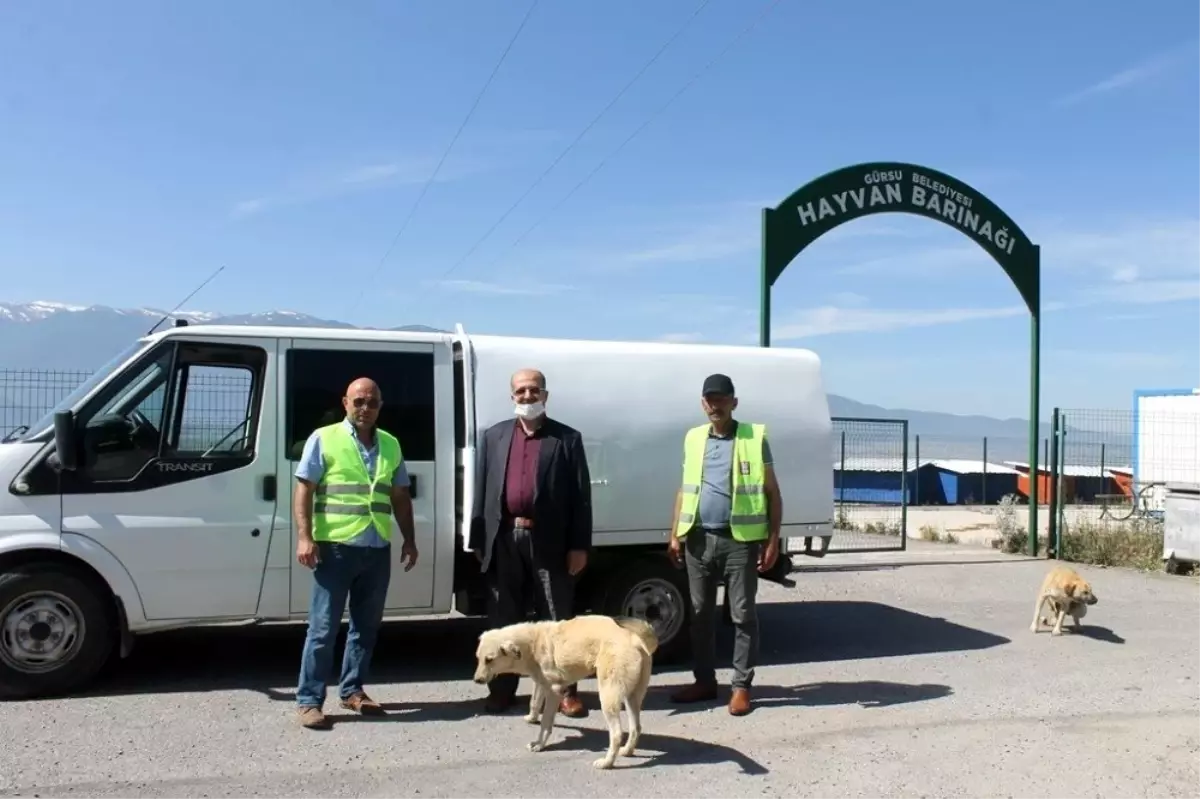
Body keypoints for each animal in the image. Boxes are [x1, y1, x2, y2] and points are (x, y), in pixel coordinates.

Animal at [472, 609, 657, 767]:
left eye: (489, 659)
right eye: (478, 658)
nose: (477, 680)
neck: (532, 643)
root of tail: (635, 639)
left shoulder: (554, 691)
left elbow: (546, 722)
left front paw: (540, 744)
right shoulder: (541, 684)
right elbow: (534, 702)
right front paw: (531, 718)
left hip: (608, 695)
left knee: (617, 733)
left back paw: (607, 763)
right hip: (632, 696)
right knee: (636, 727)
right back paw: (627, 751)